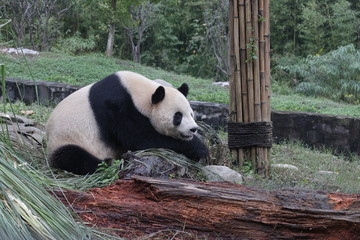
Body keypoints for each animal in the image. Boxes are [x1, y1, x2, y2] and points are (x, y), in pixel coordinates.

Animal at [45, 71, 208, 174]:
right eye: (178, 116)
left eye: (191, 114)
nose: (193, 129)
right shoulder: (118, 108)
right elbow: (143, 139)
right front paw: (200, 148)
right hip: (66, 138)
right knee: (74, 157)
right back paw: (110, 163)